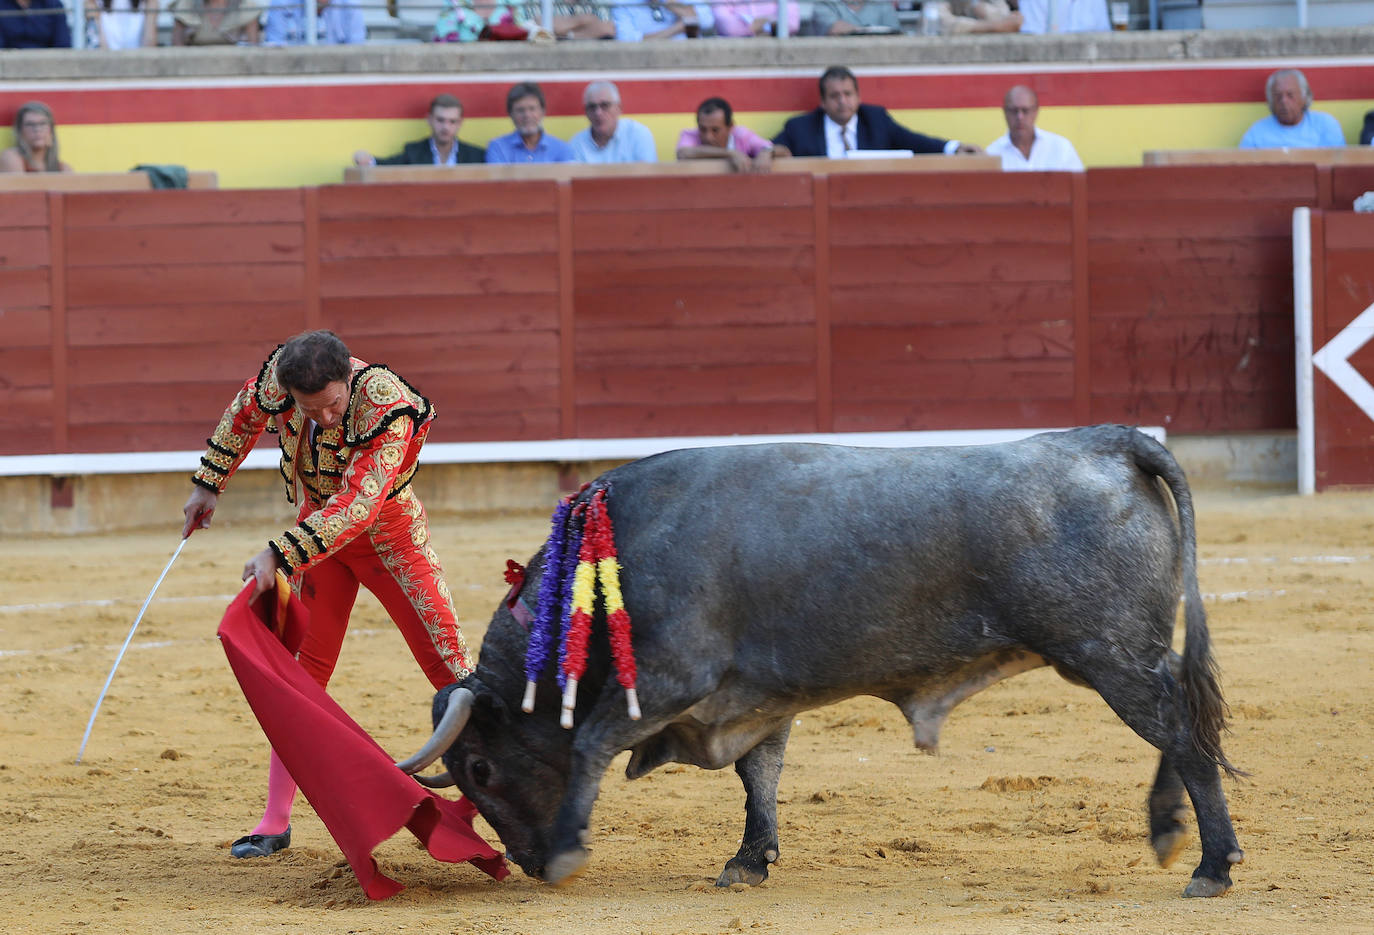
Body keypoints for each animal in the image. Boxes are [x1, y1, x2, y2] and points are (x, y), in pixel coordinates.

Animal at [395, 426, 1247, 896]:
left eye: (481, 769)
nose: (532, 864)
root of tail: (1103, 438)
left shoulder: (674, 677)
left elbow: (592, 744)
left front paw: (575, 844)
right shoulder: (752, 695)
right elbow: (760, 772)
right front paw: (750, 858)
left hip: (1110, 654)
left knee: (1184, 733)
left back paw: (1211, 863)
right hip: (1126, 655)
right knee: (1180, 726)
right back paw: (1171, 831)